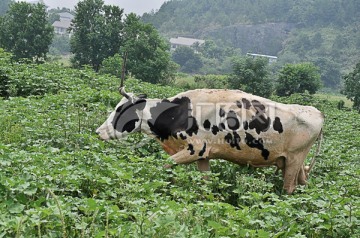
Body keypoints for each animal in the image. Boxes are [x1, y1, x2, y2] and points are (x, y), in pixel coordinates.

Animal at [95, 87, 324, 193]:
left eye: (120, 109)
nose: (99, 132)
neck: (178, 112)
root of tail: (317, 112)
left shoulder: (194, 149)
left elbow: (164, 165)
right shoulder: (203, 155)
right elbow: (205, 183)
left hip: (294, 160)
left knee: (288, 189)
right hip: (294, 163)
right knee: (304, 186)